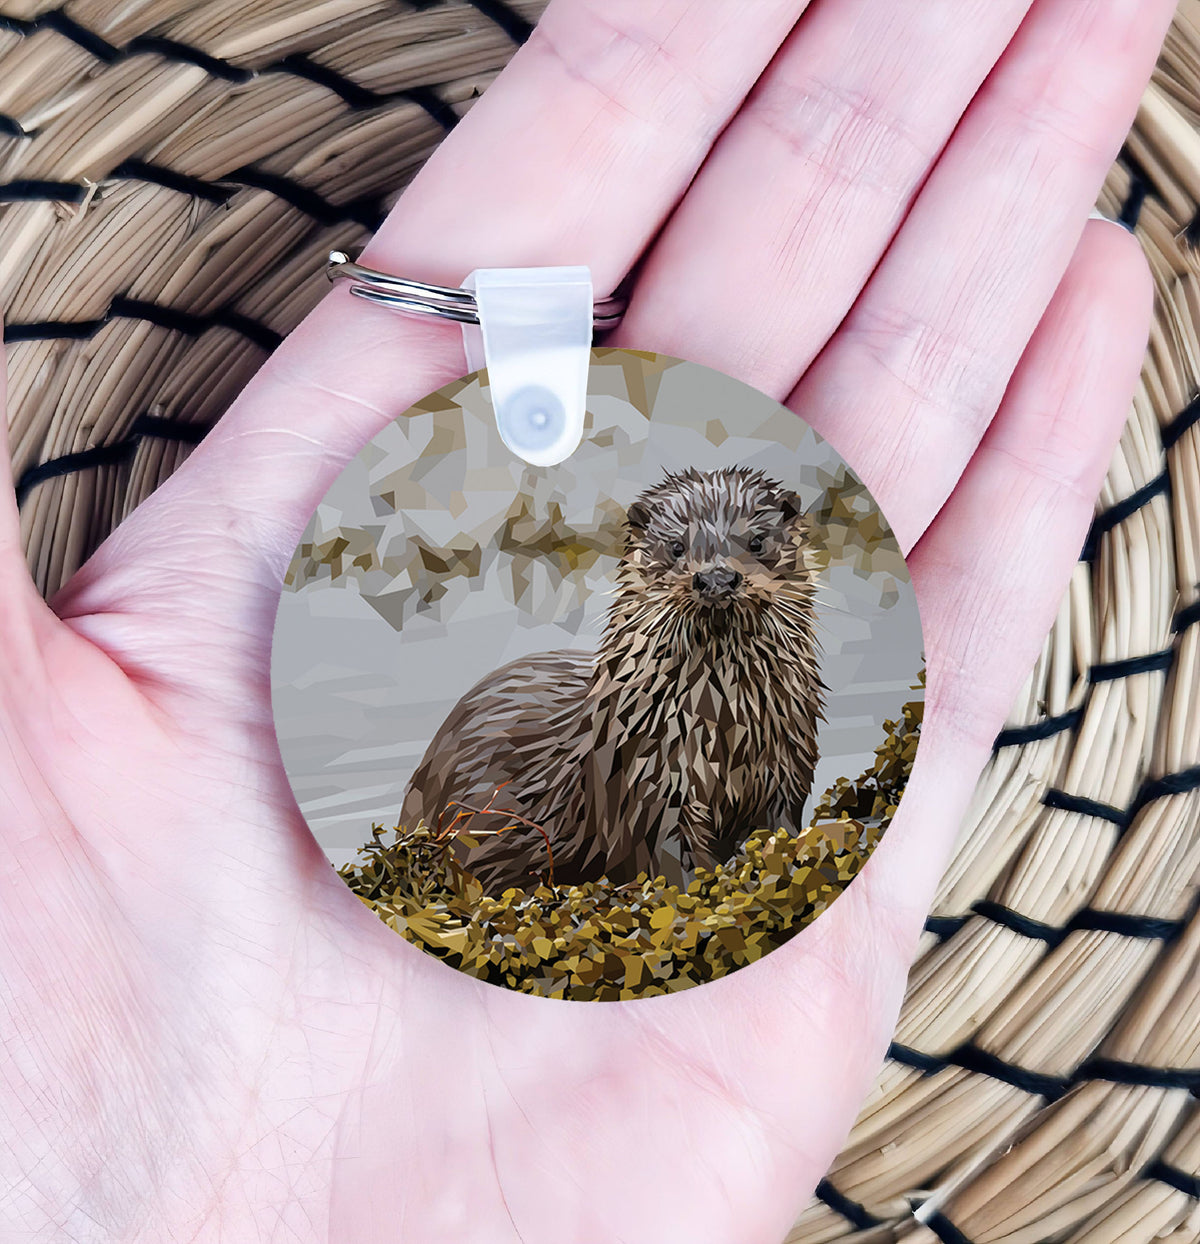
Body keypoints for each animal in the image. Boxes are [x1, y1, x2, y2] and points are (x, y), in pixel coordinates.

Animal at [399, 465, 826, 894]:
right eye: (675, 547)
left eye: (757, 541)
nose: (717, 579)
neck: (725, 727)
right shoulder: (648, 781)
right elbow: (669, 858)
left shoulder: (787, 766)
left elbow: (782, 824)